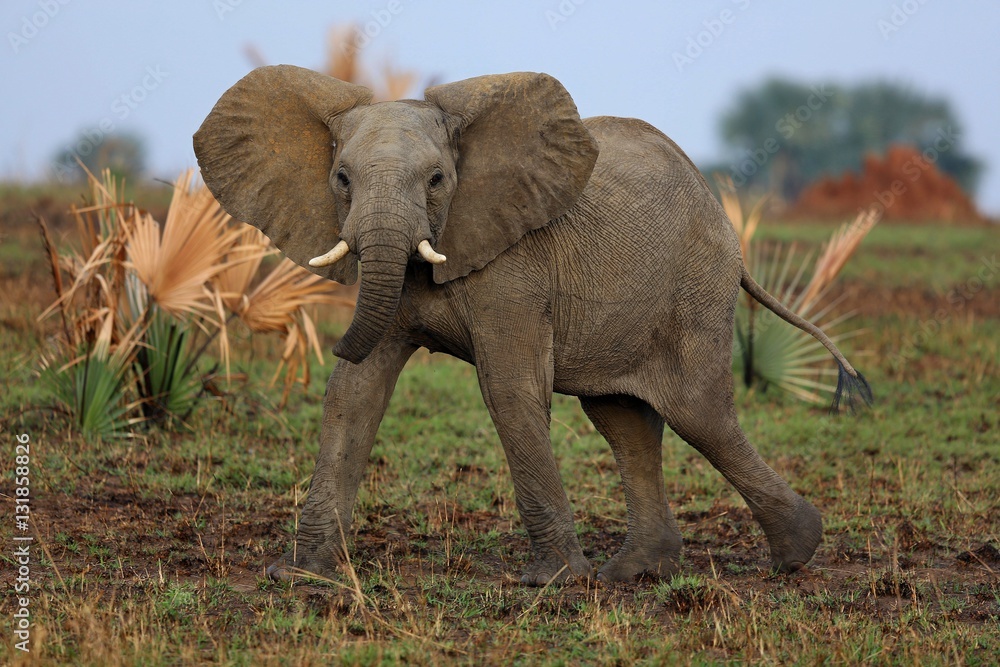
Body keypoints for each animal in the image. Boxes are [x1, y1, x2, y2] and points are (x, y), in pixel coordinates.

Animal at [194, 65, 871, 586]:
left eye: (437, 180)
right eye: (341, 179)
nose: (326, 339)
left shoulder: (514, 267)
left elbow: (510, 389)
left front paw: (552, 582)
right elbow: (354, 394)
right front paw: (300, 575)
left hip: (696, 290)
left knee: (699, 414)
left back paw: (794, 554)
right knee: (624, 419)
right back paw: (635, 572)